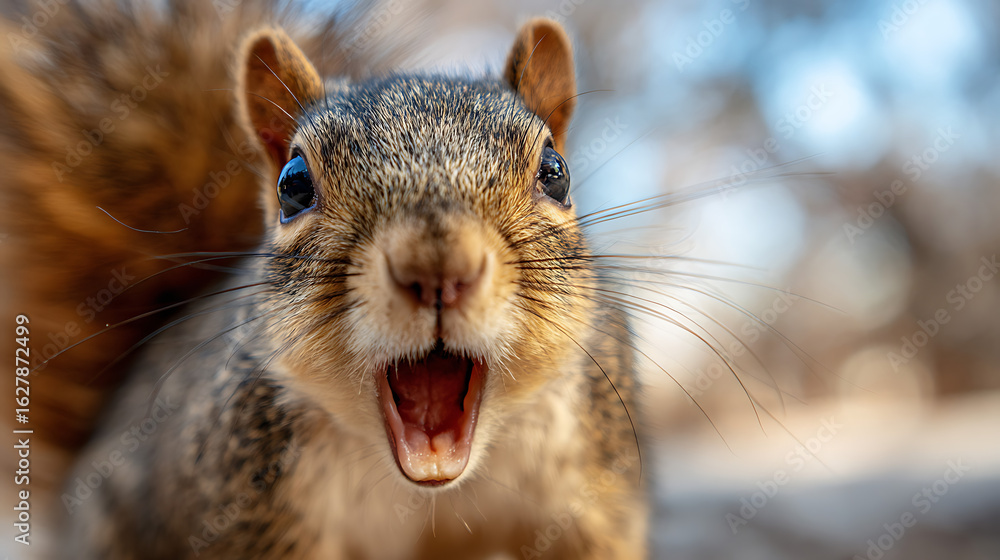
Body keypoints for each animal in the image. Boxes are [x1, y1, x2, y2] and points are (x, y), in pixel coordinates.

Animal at [0, 1, 647, 558]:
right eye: (292, 186)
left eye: (556, 173)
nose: (437, 267)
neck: (428, 492)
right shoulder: (249, 511)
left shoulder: (597, 498)